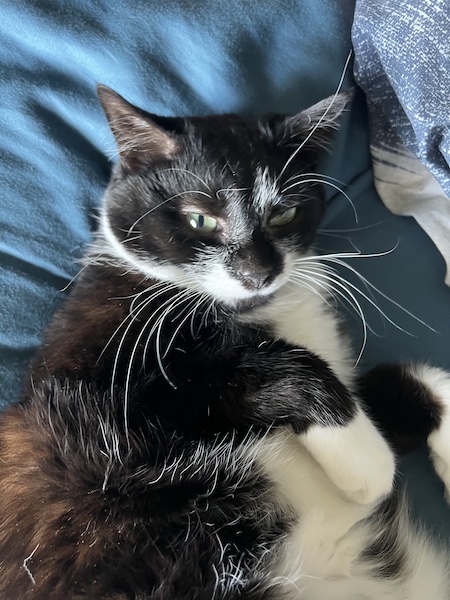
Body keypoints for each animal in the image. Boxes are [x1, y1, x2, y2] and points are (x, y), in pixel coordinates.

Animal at [0, 85, 450, 600]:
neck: (247, 311)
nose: (259, 272)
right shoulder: (98, 384)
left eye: (284, 213)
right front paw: (366, 464)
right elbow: (268, 368)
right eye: (200, 220)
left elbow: (407, 382)